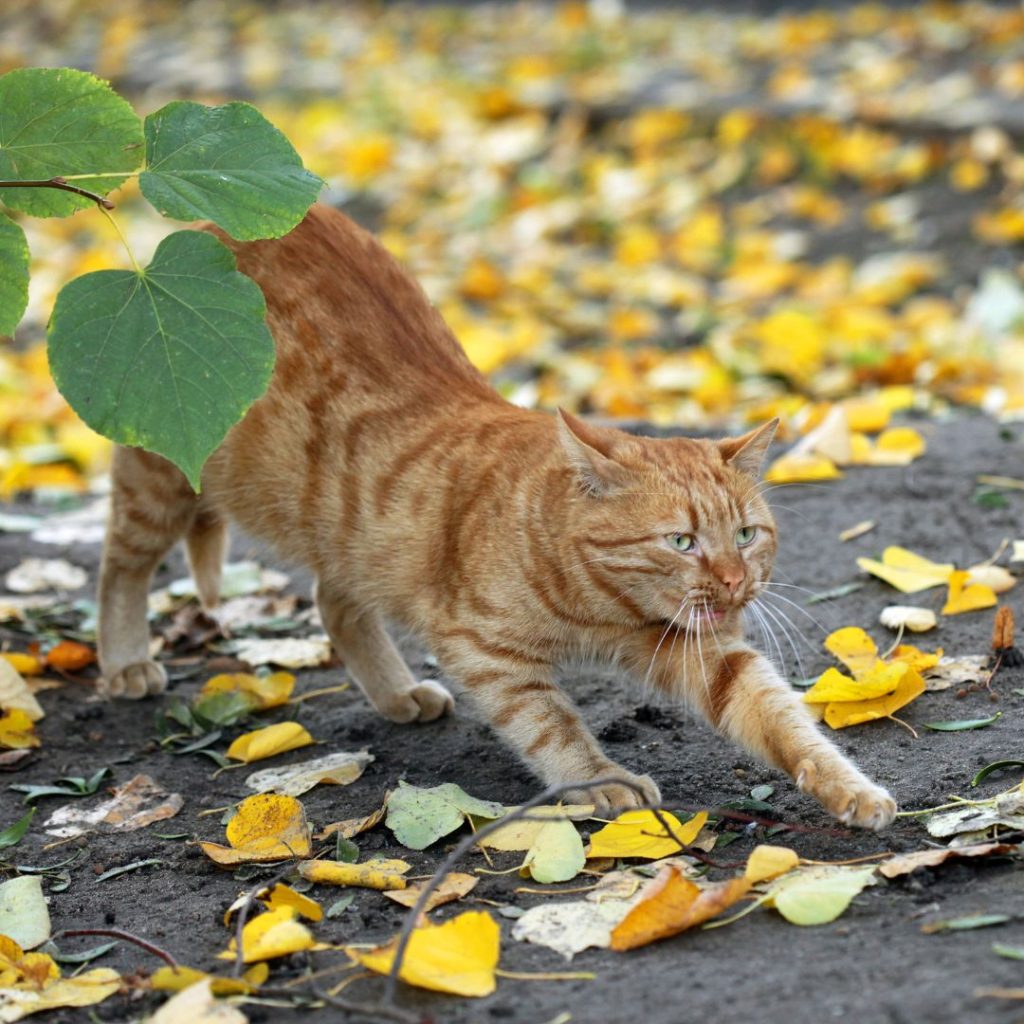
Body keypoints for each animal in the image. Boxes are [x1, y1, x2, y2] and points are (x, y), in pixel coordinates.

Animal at [96, 201, 897, 823]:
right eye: (681, 541)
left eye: (747, 535)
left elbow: (781, 717)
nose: (736, 585)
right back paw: (126, 661)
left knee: (335, 599)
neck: (601, 607)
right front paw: (599, 783)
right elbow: (550, 725)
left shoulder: (706, 652)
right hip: (161, 479)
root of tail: (207, 229)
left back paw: (396, 693)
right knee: (120, 568)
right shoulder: (482, 647)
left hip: (352, 532)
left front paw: (848, 787)